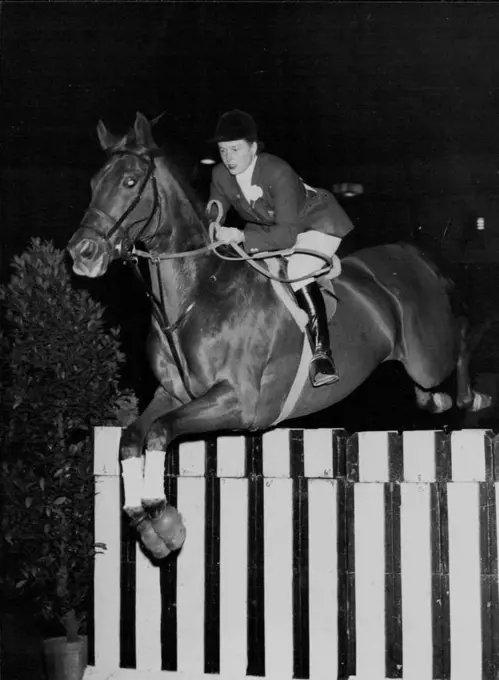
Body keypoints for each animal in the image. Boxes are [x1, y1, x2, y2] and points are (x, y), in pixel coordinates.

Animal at [68, 111, 494, 556]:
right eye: (94, 183)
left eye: (130, 181)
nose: (81, 253)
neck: (197, 294)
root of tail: (411, 254)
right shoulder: (174, 395)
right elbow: (132, 437)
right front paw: (144, 520)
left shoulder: (239, 402)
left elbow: (159, 433)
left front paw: (162, 517)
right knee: (432, 381)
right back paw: (435, 400)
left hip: (427, 353)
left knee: (462, 336)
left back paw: (472, 396)